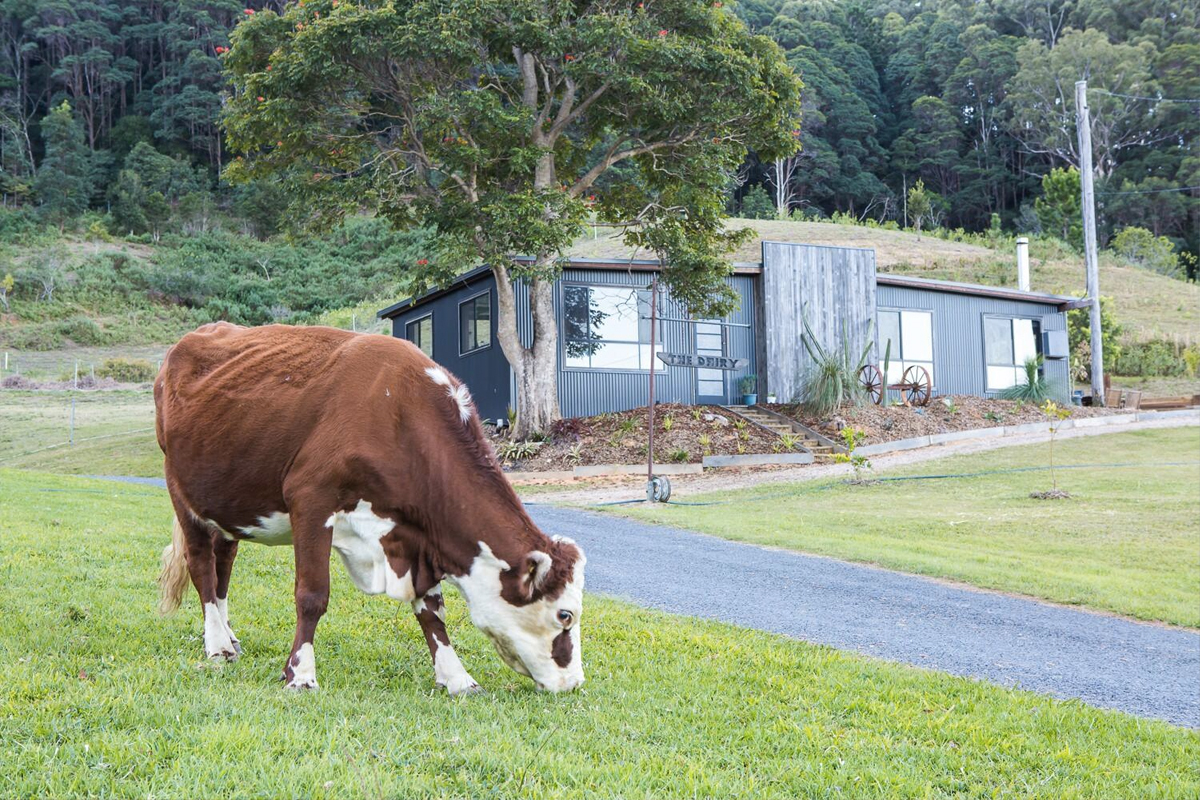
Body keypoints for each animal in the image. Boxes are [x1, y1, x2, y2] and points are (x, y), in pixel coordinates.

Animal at [154, 321, 585, 690]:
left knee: (223, 564)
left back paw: (228, 636)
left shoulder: (414, 534)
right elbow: (312, 595)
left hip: (228, 499)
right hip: (180, 489)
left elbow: (432, 608)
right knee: (202, 566)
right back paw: (216, 645)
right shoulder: (311, 498)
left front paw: (456, 677)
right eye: (565, 614)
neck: (398, 413)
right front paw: (300, 674)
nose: (574, 682)